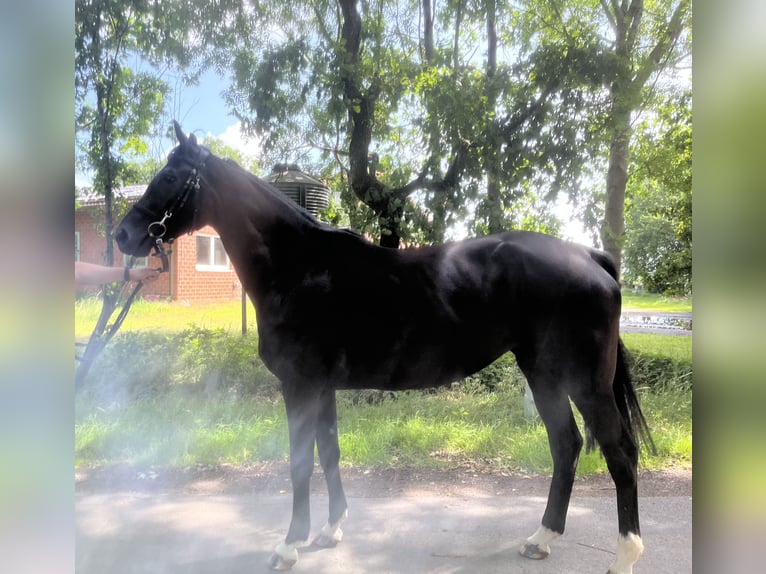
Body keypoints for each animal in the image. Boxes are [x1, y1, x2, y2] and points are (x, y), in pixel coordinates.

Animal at [116, 122, 655, 573]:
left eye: (170, 176)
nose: (124, 235)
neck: (301, 268)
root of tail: (590, 256)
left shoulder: (301, 385)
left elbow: (300, 461)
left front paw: (289, 545)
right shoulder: (322, 387)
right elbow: (329, 452)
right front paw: (330, 530)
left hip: (584, 381)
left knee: (618, 452)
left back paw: (624, 556)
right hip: (543, 373)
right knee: (567, 445)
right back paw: (541, 538)